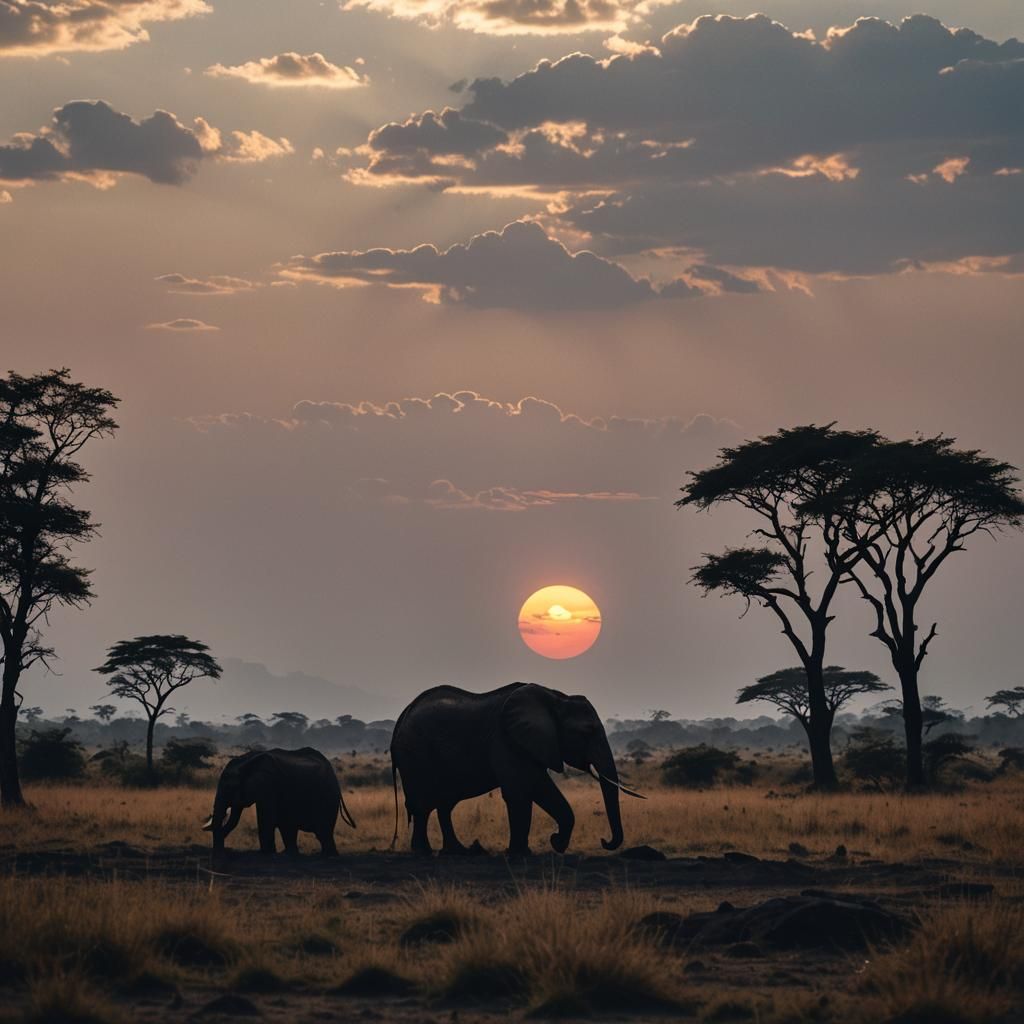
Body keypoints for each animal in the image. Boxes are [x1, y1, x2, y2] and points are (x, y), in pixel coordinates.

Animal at [202, 747, 356, 855]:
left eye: (229, 788)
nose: (219, 851)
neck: (247, 762)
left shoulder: (268, 786)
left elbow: (266, 819)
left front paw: (266, 854)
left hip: (328, 796)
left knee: (323, 831)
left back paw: (327, 856)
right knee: (290, 827)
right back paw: (290, 854)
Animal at [390, 682, 639, 856]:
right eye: (587, 732)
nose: (604, 841)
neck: (556, 698)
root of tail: (404, 714)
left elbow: (540, 788)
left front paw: (554, 844)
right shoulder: (505, 740)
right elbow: (520, 792)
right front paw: (523, 853)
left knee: (444, 804)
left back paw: (457, 851)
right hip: (415, 755)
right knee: (423, 803)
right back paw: (423, 852)